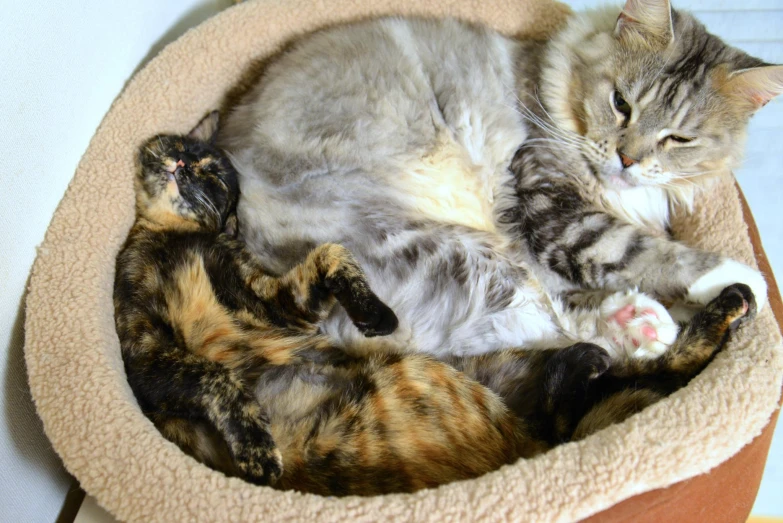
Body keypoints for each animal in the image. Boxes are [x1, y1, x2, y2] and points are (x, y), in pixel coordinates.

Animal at [113, 113, 756, 496]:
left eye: (211, 172)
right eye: (177, 149)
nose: (180, 162)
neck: (182, 243)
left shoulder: (277, 302)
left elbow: (332, 257)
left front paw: (377, 315)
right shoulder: (146, 349)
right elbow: (215, 378)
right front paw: (255, 449)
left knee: (598, 397)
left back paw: (720, 304)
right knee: (577, 411)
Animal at [217, 0, 780, 362]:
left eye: (679, 138)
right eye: (621, 103)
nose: (627, 160)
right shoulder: (556, 213)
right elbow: (645, 253)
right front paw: (746, 283)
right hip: (449, 249)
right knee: (551, 329)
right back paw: (645, 324)